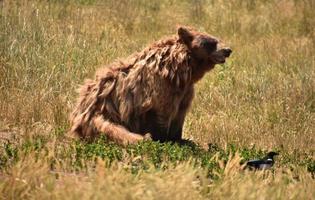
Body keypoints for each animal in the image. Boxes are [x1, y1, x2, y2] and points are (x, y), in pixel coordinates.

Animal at [69, 26, 232, 145]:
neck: (178, 71)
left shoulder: (184, 91)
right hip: (99, 116)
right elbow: (162, 113)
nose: (228, 50)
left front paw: (182, 139)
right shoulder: (160, 88)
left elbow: (180, 114)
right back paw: (143, 138)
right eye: (210, 42)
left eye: (216, 38)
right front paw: (163, 139)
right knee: (115, 131)